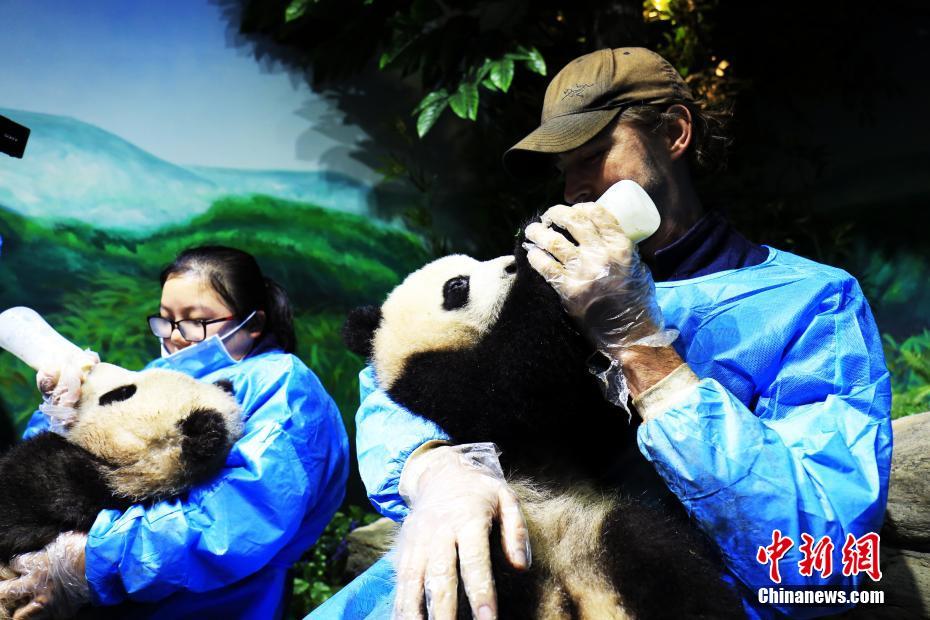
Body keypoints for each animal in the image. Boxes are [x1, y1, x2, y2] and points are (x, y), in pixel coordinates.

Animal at [343, 247, 745, 619]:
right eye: (456, 285)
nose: (509, 265)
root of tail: (567, 596)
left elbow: (594, 426)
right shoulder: (431, 381)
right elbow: (509, 387)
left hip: (598, 526)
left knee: (657, 553)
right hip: (476, 550)